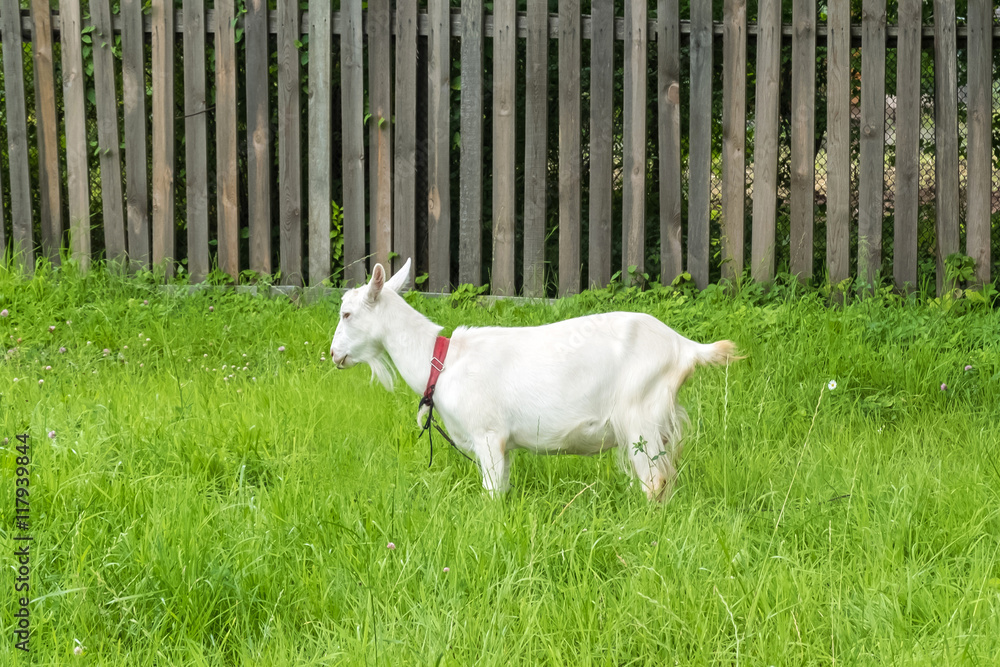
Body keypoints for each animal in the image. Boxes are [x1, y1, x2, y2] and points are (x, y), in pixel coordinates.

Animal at [330, 259, 739, 501]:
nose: (334, 355)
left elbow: (493, 493)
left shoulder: (488, 435)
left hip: (641, 416)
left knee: (654, 481)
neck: (444, 361)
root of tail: (683, 347)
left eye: (347, 314)